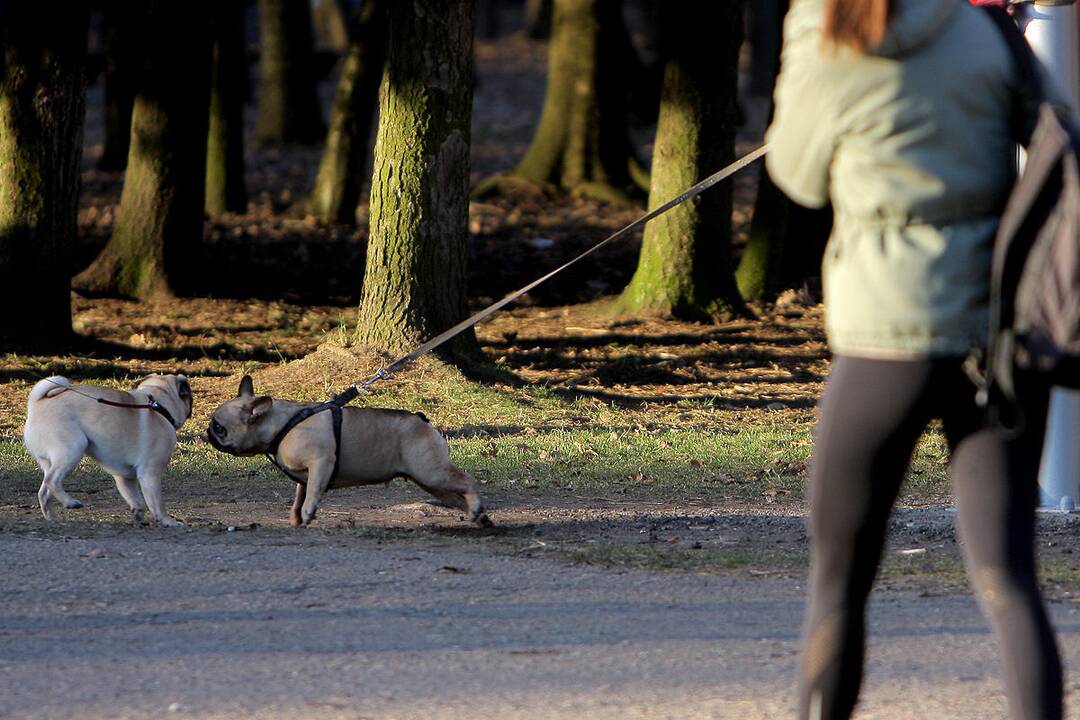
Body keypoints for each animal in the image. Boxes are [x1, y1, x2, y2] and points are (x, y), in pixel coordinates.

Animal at [22, 375, 193, 526]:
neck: (160, 406)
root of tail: (36, 403)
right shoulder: (151, 473)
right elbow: (157, 503)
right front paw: (167, 521)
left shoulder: (125, 477)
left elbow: (136, 499)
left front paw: (138, 514)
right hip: (74, 448)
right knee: (52, 480)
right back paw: (71, 502)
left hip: (51, 462)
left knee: (44, 491)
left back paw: (52, 518)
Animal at [204, 377, 492, 528]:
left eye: (219, 427)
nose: (207, 432)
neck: (280, 424)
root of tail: (423, 421)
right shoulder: (304, 475)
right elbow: (299, 495)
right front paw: (296, 517)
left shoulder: (321, 463)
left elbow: (313, 493)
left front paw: (308, 513)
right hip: (430, 480)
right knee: (457, 496)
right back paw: (478, 516)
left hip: (431, 472)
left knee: (468, 482)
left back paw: (477, 508)